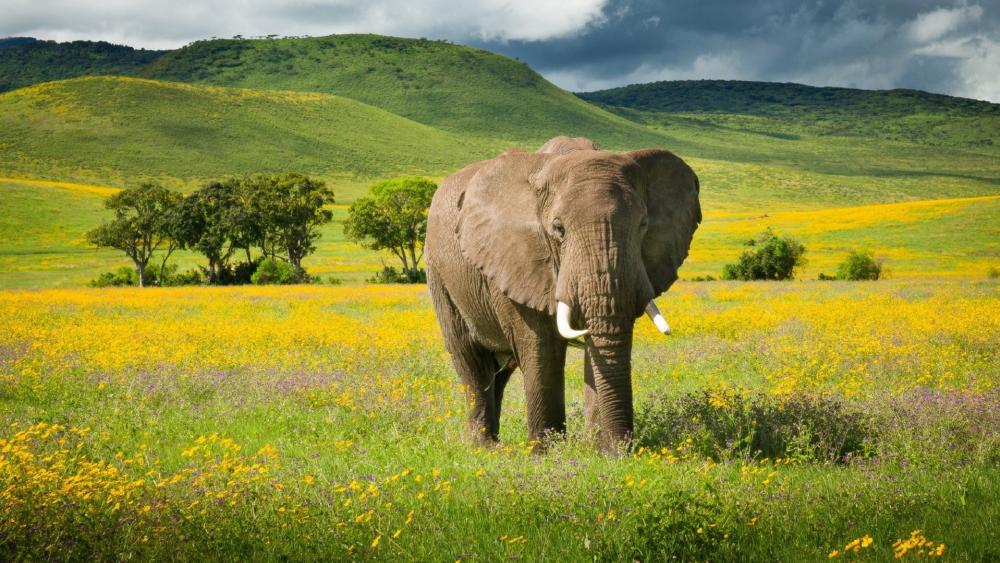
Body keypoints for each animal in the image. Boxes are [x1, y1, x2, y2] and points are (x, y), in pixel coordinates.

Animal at [425, 136, 701, 452]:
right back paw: (484, 448)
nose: (623, 451)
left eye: (643, 225)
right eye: (559, 229)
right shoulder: (517, 259)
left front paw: (595, 449)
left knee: (500, 371)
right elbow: (541, 348)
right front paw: (547, 452)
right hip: (440, 276)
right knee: (473, 363)